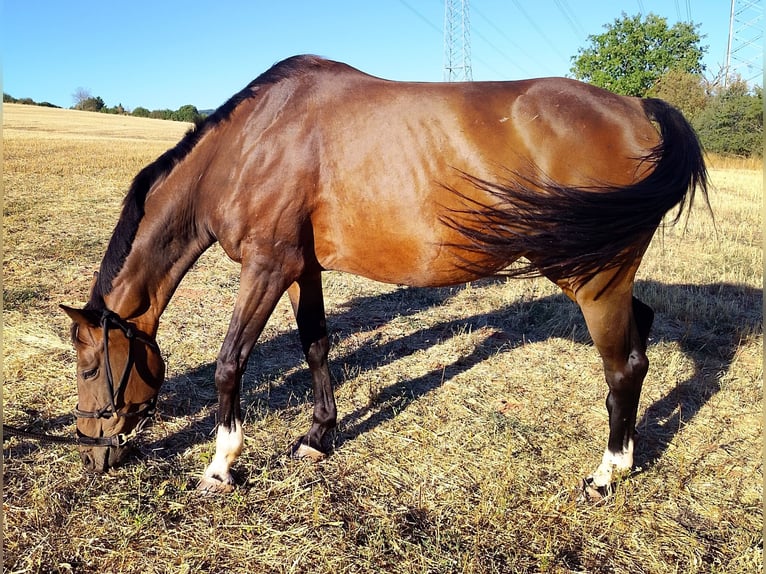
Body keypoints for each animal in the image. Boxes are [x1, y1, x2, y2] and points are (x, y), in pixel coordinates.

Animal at [61, 55, 708, 500]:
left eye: (91, 368)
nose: (92, 456)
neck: (250, 145)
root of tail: (639, 107)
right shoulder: (302, 270)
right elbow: (316, 346)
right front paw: (318, 437)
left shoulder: (266, 267)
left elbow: (229, 363)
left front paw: (221, 465)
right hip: (605, 277)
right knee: (641, 337)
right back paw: (625, 458)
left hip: (592, 278)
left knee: (622, 366)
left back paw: (606, 473)